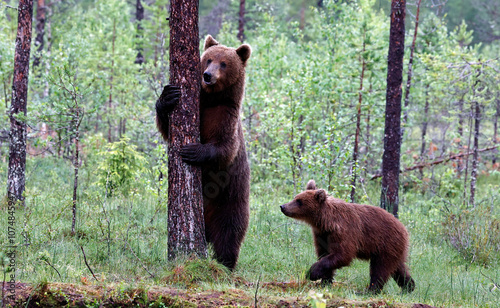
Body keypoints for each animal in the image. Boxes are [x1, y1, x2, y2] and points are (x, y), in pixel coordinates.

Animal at [155, 35, 252, 270]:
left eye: (224, 63)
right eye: (208, 59)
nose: (208, 76)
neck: (210, 99)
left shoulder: (225, 116)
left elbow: (225, 148)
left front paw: (192, 151)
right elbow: (167, 127)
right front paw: (168, 96)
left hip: (230, 203)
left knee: (229, 236)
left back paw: (226, 265)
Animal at [282, 180, 414, 294]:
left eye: (299, 201)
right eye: (295, 198)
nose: (283, 206)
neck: (326, 222)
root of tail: (404, 229)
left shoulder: (344, 232)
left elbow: (342, 254)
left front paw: (312, 273)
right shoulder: (322, 235)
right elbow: (325, 254)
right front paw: (325, 282)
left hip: (385, 244)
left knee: (380, 269)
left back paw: (370, 290)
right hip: (393, 249)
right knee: (399, 268)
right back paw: (408, 287)